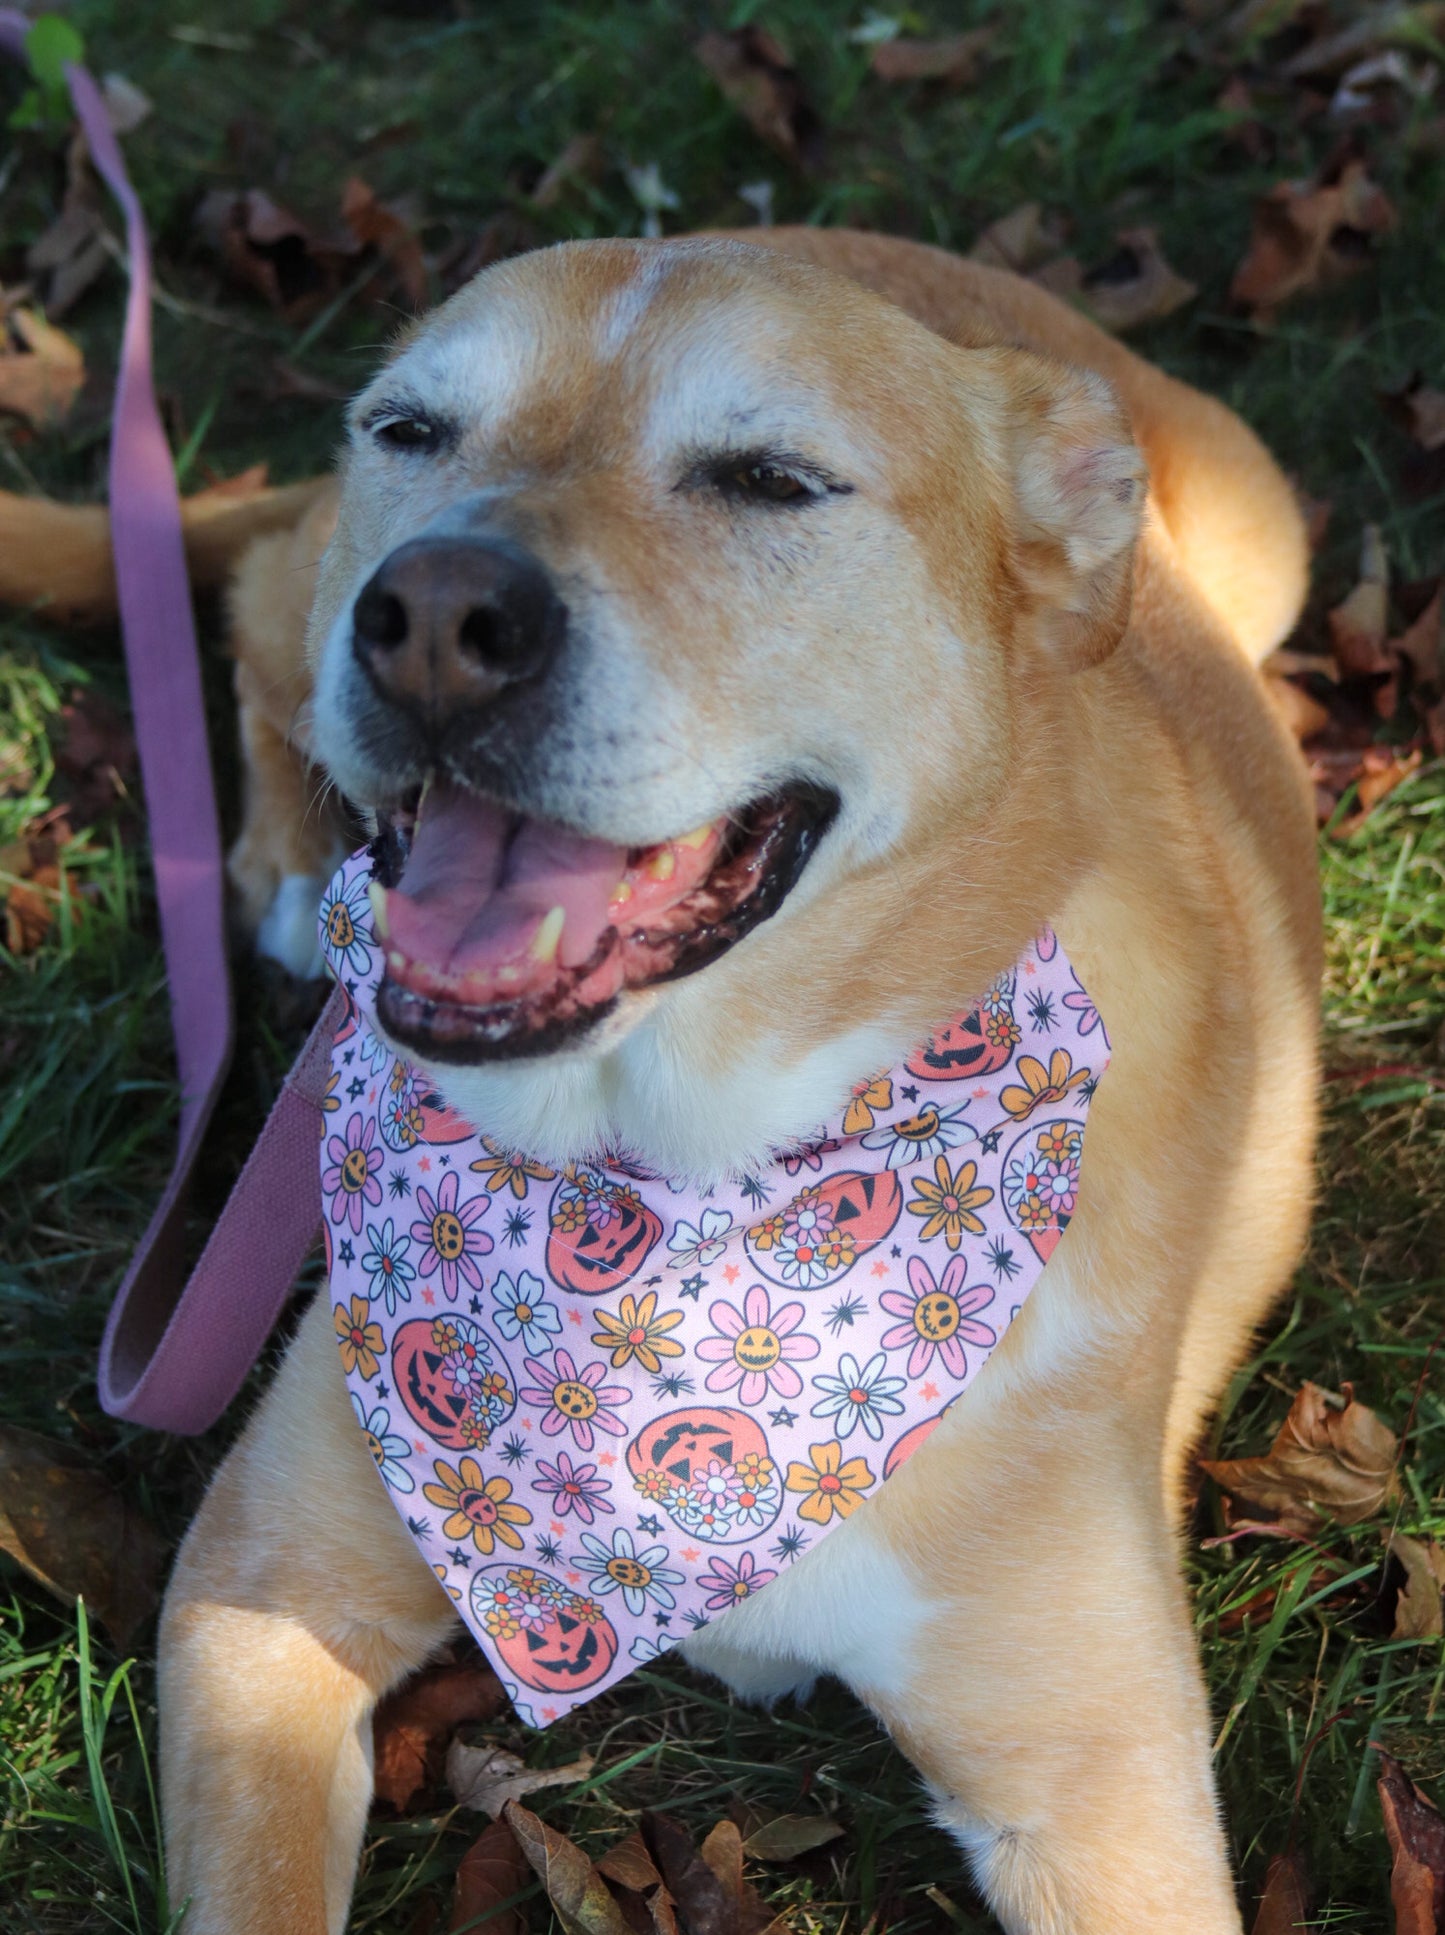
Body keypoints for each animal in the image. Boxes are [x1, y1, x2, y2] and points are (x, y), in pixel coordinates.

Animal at [0, 230, 1323, 1935]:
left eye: (770, 479)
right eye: (410, 429)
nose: (432, 611)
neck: (676, 1188)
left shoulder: (1101, 1790)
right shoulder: (260, 1585)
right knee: (251, 595)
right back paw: (291, 859)